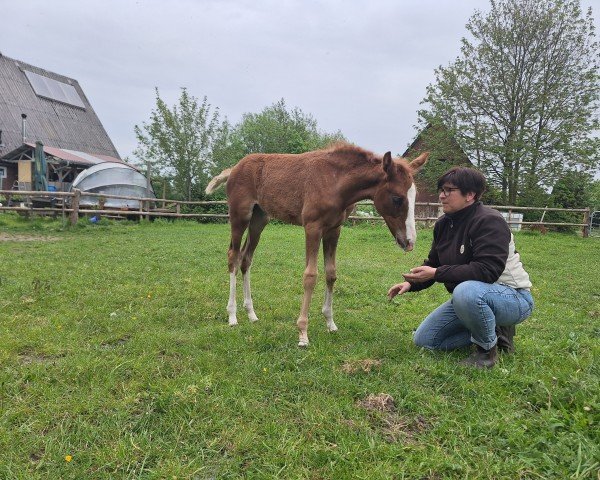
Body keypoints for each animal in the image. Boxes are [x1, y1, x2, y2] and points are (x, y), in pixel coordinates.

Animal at [205, 142, 426, 344]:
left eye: (415, 196)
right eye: (397, 198)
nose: (409, 242)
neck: (336, 182)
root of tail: (234, 169)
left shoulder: (334, 230)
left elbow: (331, 273)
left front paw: (330, 322)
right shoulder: (313, 227)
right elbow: (310, 276)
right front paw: (303, 332)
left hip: (259, 219)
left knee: (246, 259)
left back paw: (251, 314)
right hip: (240, 216)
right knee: (233, 257)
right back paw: (232, 315)